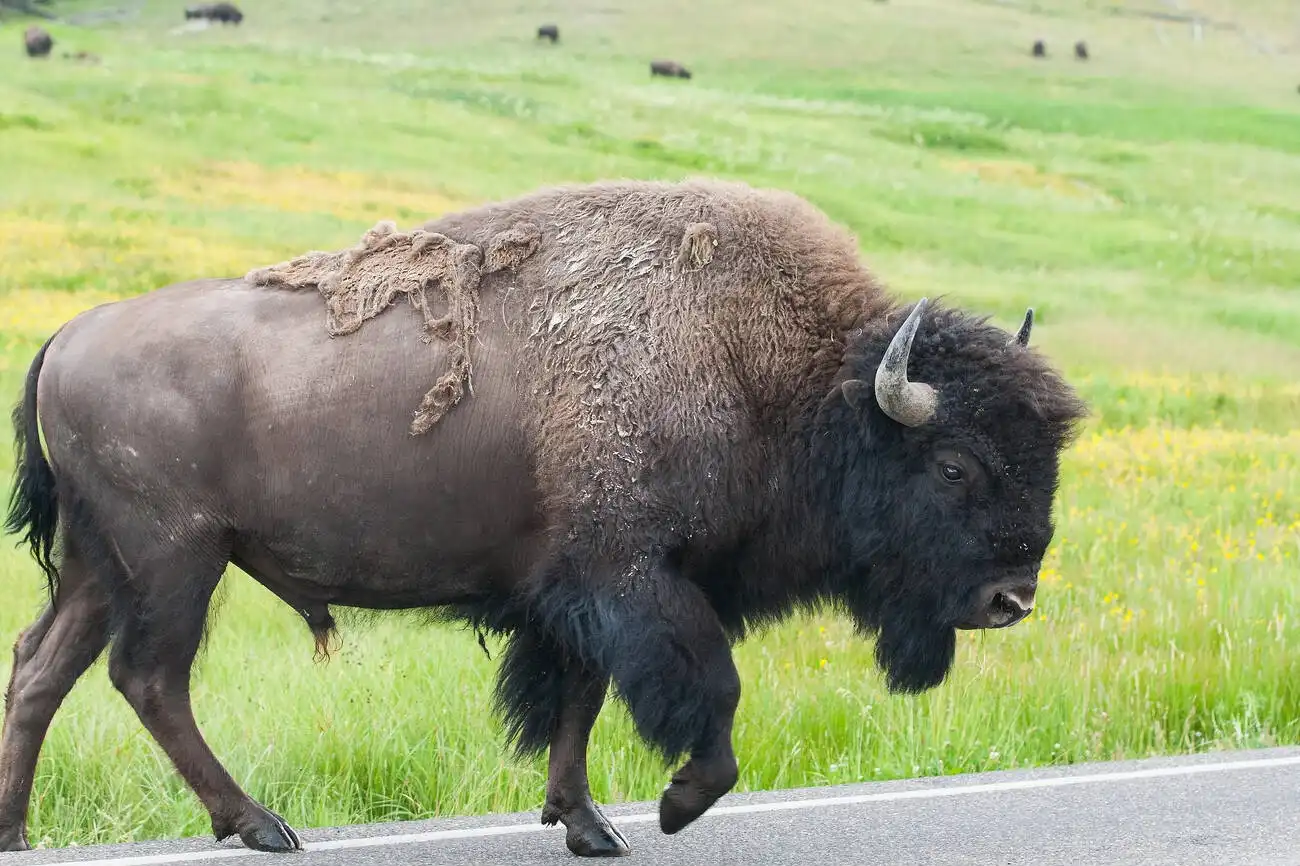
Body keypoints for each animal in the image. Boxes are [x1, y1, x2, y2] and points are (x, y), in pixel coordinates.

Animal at [0, 178, 1086, 852]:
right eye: (954, 462)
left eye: (1046, 461)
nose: (1010, 597)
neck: (781, 373)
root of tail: (67, 336)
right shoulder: (635, 582)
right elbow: (706, 688)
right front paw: (676, 805)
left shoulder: (575, 598)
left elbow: (577, 702)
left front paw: (589, 825)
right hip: (175, 560)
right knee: (150, 677)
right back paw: (262, 825)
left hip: (102, 564)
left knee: (43, 669)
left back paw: (19, 827)